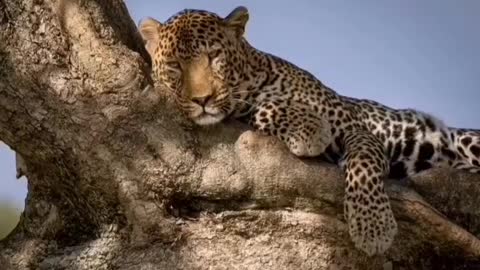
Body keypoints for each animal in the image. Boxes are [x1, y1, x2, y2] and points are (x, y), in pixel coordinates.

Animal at [138, 5, 480, 255]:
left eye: (214, 56)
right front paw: (308, 128)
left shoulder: (357, 128)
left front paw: (373, 227)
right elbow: (265, 110)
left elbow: (364, 166)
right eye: (175, 66)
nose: (202, 100)